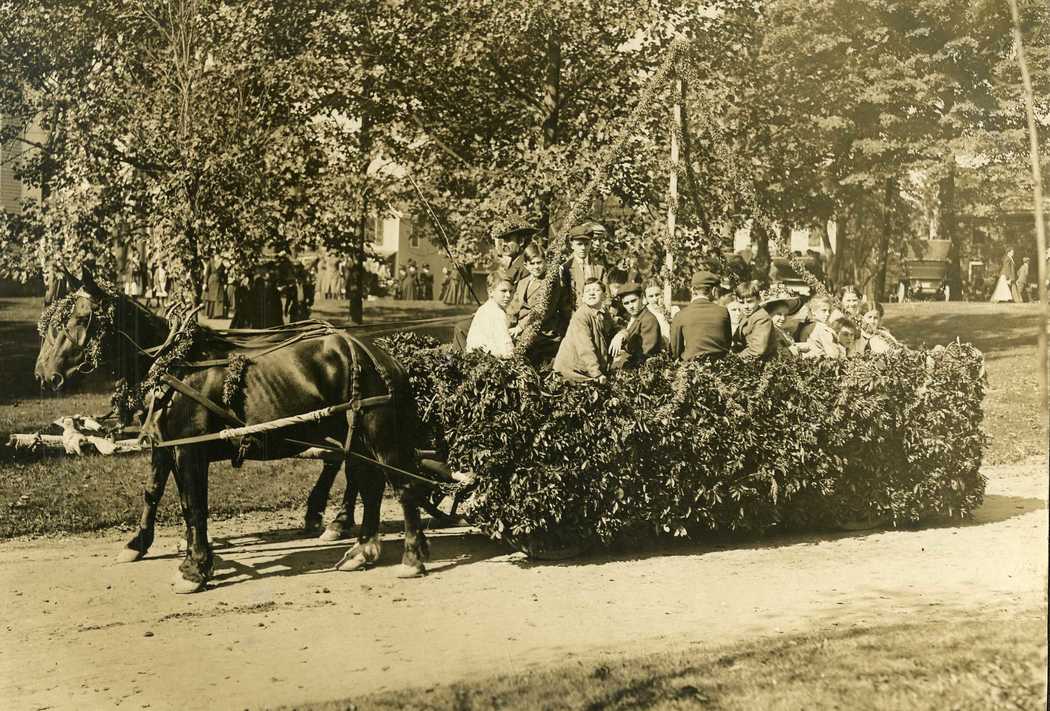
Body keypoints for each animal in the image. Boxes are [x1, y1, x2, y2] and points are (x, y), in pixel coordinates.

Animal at [35, 268, 430, 592]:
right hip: (356, 438)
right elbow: (156, 494)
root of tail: (378, 355)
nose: (44, 376)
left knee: (403, 486)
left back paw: (411, 557)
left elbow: (194, 506)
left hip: (380, 436)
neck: (171, 365)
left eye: (81, 318)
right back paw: (362, 548)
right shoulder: (166, 445)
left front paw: (194, 568)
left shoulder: (189, 449)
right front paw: (140, 544)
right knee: (368, 484)